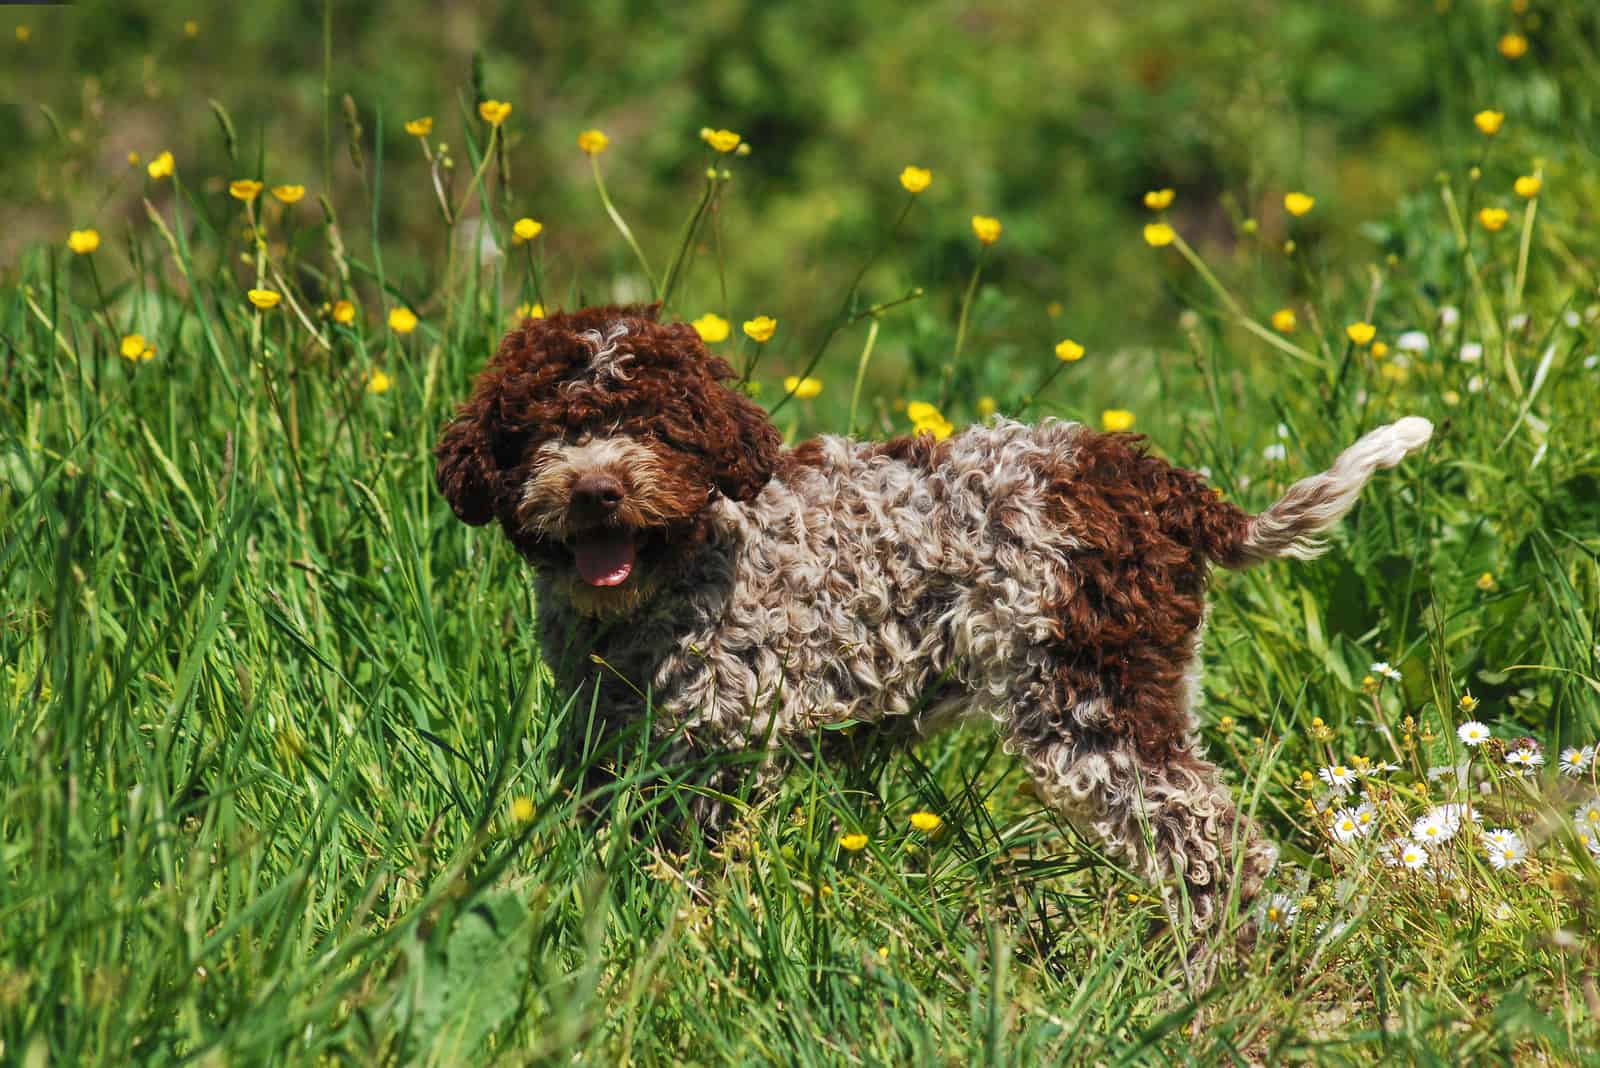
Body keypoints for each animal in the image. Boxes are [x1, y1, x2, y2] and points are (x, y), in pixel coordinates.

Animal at [438, 302, 1440, 933]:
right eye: (542, 431)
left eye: (655, 426)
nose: (596, 490)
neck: (666, 581)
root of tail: (1147, 481)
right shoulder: (610, 743)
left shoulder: (721, 751)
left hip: (1089, 701)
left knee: (1209, 843)